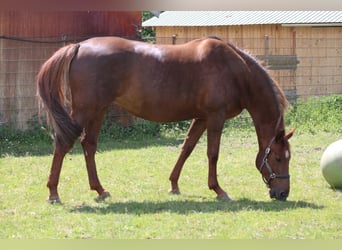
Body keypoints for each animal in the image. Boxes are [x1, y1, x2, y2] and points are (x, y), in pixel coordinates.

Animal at [36, 35, 294, 203]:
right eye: (279, 158)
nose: (283, 193)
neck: (235, 70)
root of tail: (79, 46)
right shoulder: (215, 117)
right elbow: (212, 154)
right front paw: (218, 190)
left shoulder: (201, 118)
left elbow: (187, 148)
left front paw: (174, 185)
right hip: (85, 111)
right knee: (63, 144)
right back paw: (53, 193)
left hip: (98, 110)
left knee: (89, 145)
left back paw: (100, 190)